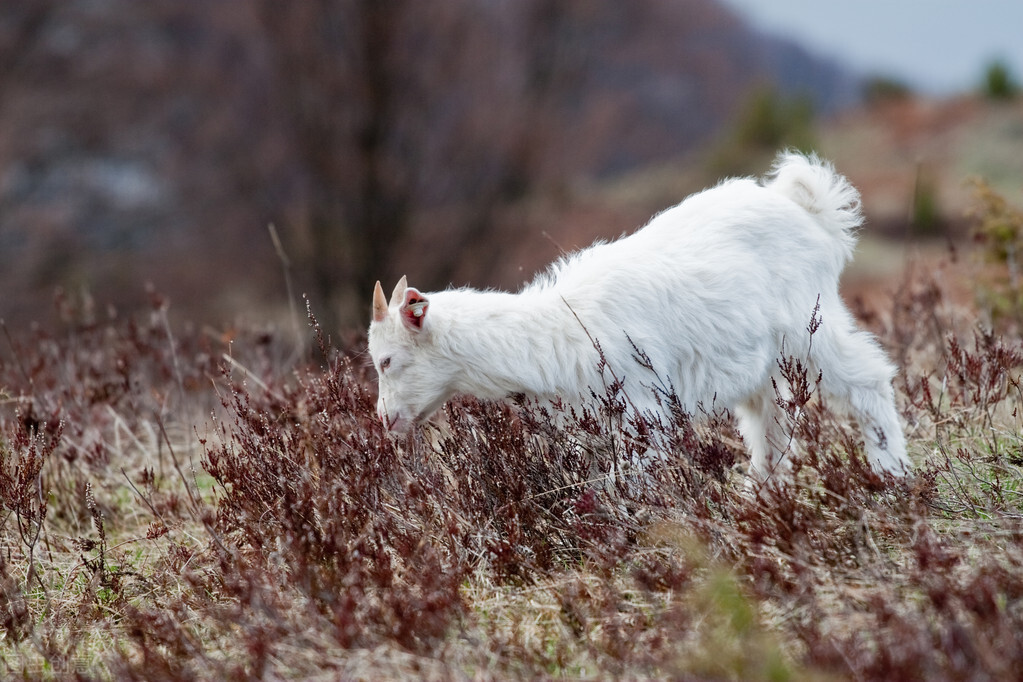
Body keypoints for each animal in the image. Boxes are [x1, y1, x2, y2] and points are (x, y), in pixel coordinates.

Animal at [368, 150, 912, 480]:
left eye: (386, 361)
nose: (386, 421)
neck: (555, 331)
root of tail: (808, 212)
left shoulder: (642, 409)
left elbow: (627, 483)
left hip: (810, 328)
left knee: (867, 380)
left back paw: (891, 471)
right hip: (763, 363)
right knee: (770, 423)